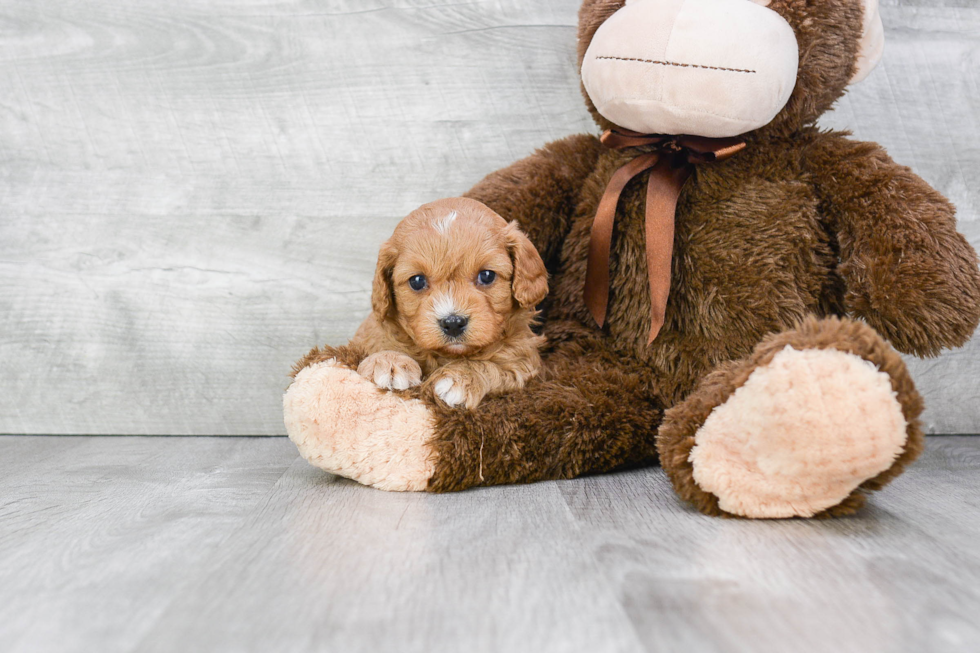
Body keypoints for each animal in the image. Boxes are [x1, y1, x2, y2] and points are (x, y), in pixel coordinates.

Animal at [350, 196, 552, 408]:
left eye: (487, 276)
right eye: (417, 281)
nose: (453, 323)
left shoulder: (523, 361)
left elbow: (493, 366)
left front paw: (460, 377)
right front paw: (387, 361)